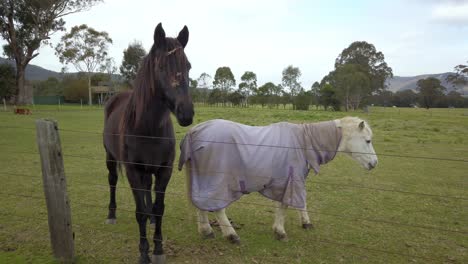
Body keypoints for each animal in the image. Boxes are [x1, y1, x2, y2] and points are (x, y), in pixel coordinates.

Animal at [103, 23, 193, 264]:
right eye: (161, 66)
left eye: (188, 66)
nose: (186, 113)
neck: (149, 129)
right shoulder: (133, 171)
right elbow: (140, 212)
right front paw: (144, 253)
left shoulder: (163, 170)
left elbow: (158, 207)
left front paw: (159, 248)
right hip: (111, 159)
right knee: (113, 181)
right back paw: (111, 214)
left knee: (147, 191)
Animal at [177, 117, 378, 243]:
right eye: (368, 140)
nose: (374, 163)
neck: (304, 142)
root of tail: (194, 131)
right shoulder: (291, 179)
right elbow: (285, 205)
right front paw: (280, 232)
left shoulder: (290, 180)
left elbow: (298, 202)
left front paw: (305, 223)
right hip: (217, 181)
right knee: (217, 207)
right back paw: (231, 235)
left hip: (202, 178)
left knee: (202, 204)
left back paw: (206, 231)